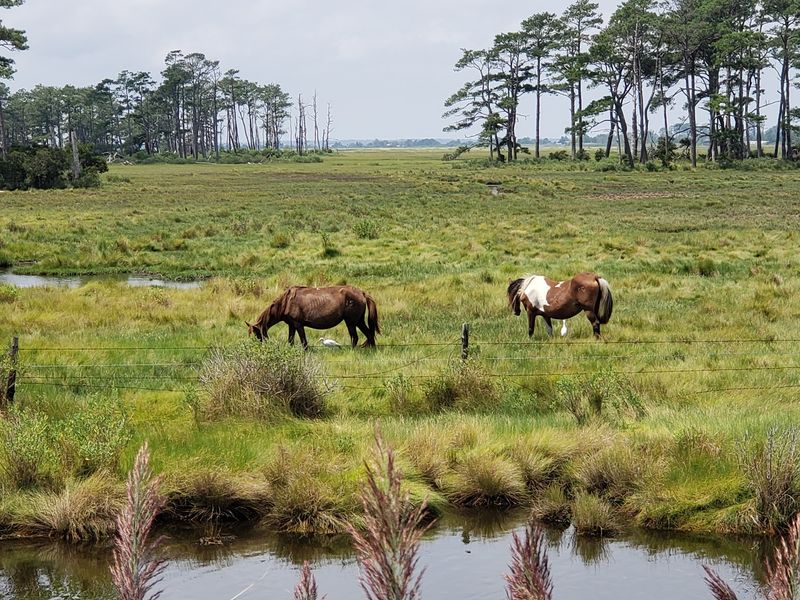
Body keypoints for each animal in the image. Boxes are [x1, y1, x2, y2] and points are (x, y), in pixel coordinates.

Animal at [246, 285, 380, 348]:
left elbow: (304, 341)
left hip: (351, 322)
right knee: (369, 334)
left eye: (257, 333)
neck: (286, 302)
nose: (258, 346)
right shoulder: (291, 325)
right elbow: (290, 340)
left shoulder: (298, 324)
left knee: (355, 337)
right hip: (359, 321)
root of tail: (362, 293)